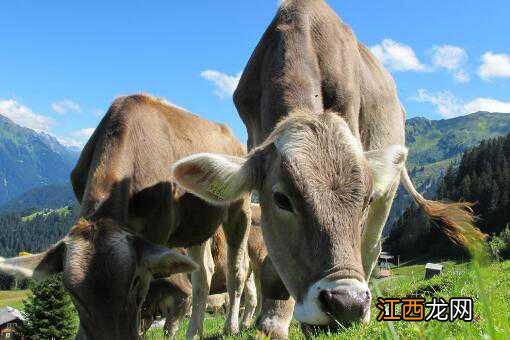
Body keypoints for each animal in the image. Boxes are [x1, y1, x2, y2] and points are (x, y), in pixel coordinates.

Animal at [0, 93, 252, 340]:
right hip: (196, 225)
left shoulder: (157, 230)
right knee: (203, 274)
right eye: (72, 293)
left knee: (236, 270)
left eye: (135, 281)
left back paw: (232, 326)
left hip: (240, 207)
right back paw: (194, 333)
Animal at [172, 0, 482, 334]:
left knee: (372, 247)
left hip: (390, 188)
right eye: (281, 199)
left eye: (365, 199)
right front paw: (272, 319)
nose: (347, 304)